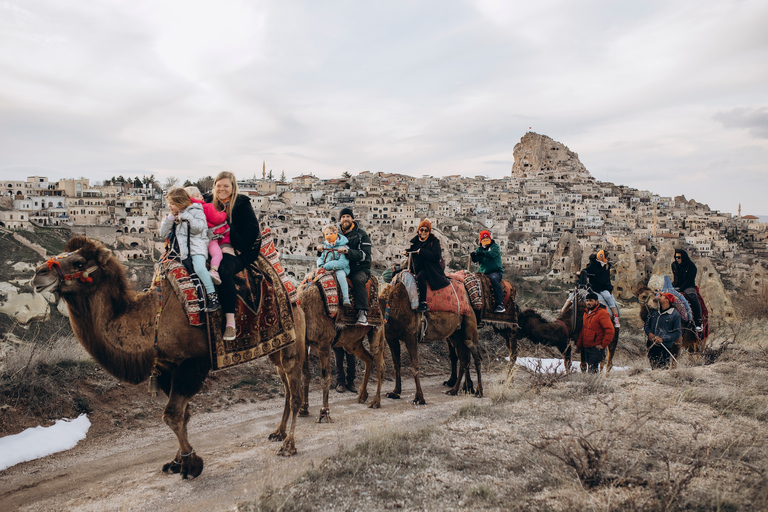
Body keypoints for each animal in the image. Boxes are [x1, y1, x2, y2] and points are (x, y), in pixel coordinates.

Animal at [30, 238, 306, 478]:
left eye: (78, 262)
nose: (38, 274)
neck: (154, 319)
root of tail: (288, 284)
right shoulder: (166, 367)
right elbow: (183, 415)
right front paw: (177, 462)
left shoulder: (193, 363)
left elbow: (171, 415)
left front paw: (192, 464)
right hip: (277, 349)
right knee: (286, 388)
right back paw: (278, 433)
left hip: (294, 343)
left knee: (295, 392)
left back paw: (289, 445)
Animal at [296, 282, 388, 422]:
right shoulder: (305, 343)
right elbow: (305, 375)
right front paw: (303, 409)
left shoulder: (324, 344)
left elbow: (325, 378)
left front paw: (324, 413)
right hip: (352, 344)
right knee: (368, 359)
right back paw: (362, 395)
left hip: (377, 330)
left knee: (380, 363)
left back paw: (375, 402)